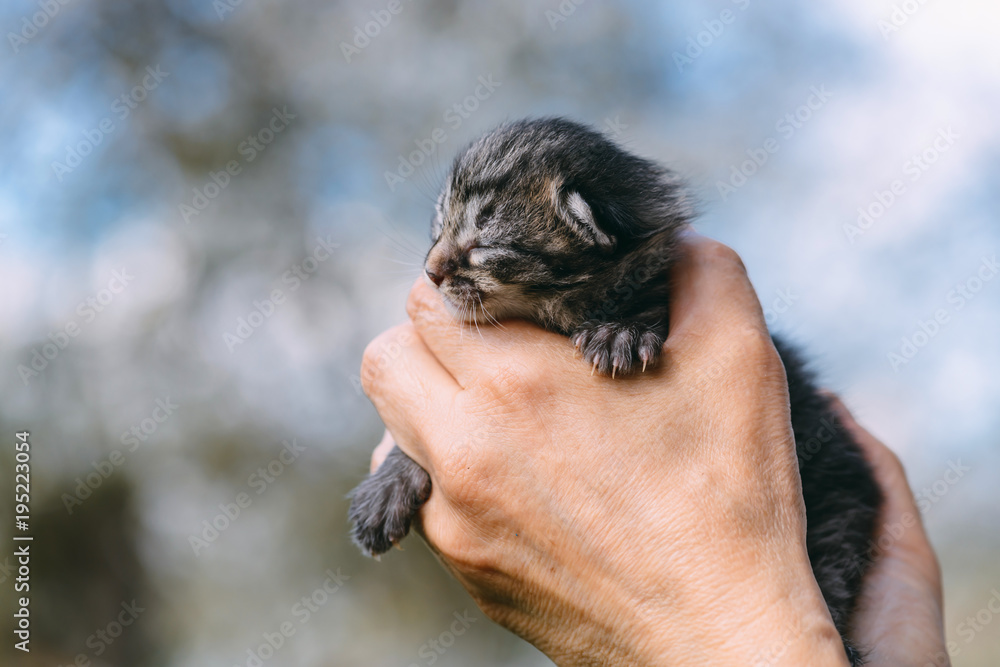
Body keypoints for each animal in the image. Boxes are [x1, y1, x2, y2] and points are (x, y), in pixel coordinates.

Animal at [352, 117, 884, 664]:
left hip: (840, 494)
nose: (431, 272)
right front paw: (390, 480)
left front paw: (621, 331)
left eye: (484, 241)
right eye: (439, 224)